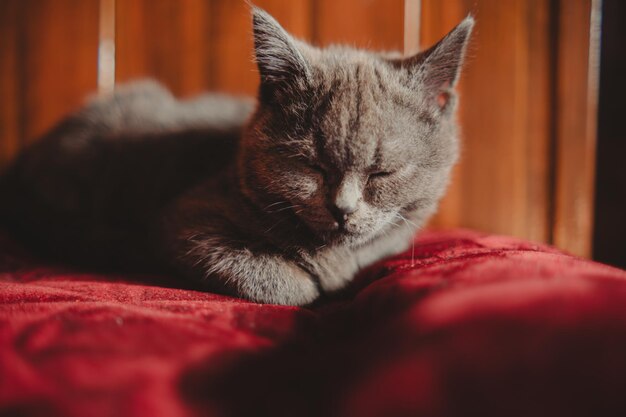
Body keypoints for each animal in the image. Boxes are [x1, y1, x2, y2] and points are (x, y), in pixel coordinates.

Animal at [0, 7, 470, 306]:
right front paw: (315, 284)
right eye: (311, 166)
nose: (342, 209)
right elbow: (284, 283)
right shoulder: (183, 220)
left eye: (382, 173)